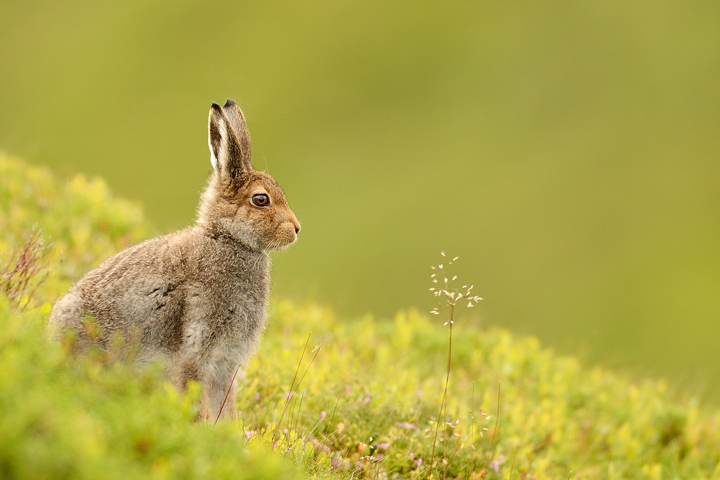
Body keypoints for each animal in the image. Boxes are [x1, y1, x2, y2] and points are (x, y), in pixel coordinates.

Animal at [48, 99, 300, 421]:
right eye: (261, 200)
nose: (296, 229)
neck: (228, 240)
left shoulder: (226, 363)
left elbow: (225, 410)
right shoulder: (196, 351)